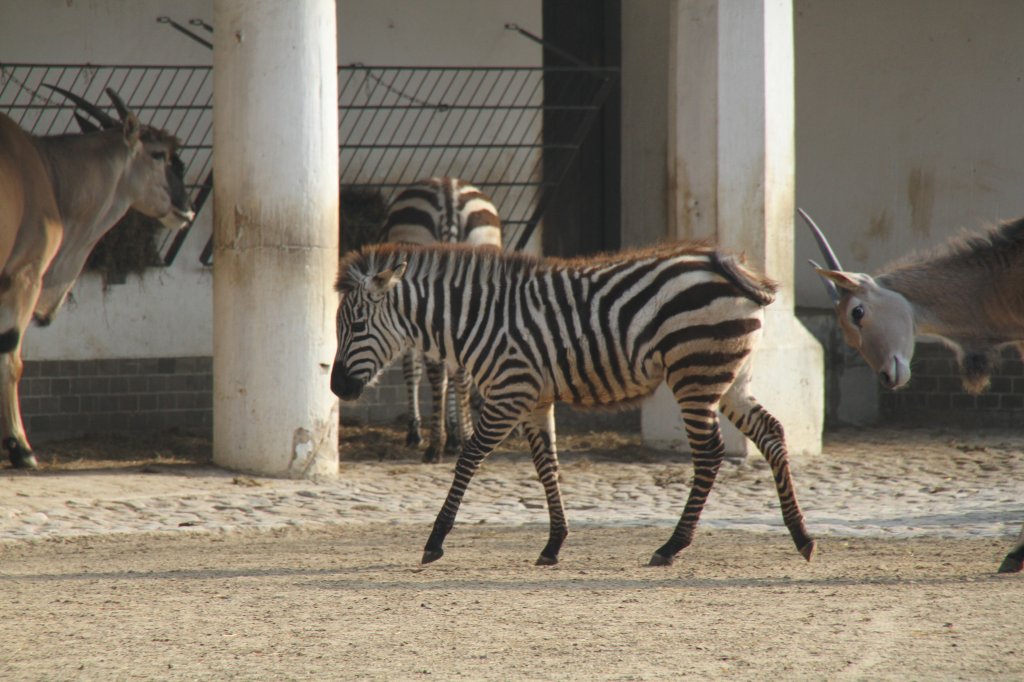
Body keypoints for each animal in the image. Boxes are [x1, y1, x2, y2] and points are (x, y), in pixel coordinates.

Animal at [0, 87, 192, 466]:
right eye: (159, 154)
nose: (187, 209)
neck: (46, 167)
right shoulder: (24, 276)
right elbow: (12, 360)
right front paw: (21, 449)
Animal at [329, 241, 815, 565]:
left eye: (356, 325)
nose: (335, 388)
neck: (476, 320)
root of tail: (729, 267)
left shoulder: (510, 392)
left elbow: (468, 458)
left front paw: (435, 540)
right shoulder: (534, 398)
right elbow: (547, 465)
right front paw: (554, 543)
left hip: (694, 373)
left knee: (710, 453)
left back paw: (672, 546)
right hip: (728, 376)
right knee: (771, 433)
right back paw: (801, 536)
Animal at [380, 175, 499, 462]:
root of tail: (449, 191)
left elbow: (413, 370)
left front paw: (417, 432)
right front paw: (454, 433)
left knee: (435, 373)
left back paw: (435, 445)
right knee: (461, 370)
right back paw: (460, 437)